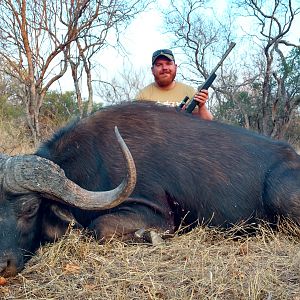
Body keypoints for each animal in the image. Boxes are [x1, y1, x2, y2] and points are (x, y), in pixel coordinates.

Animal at [0, 101, 300, 276]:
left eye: (30, 208)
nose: (3, 265)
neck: (92, 158)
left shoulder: (158, 215)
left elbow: (100, 227)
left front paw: (151, 237)